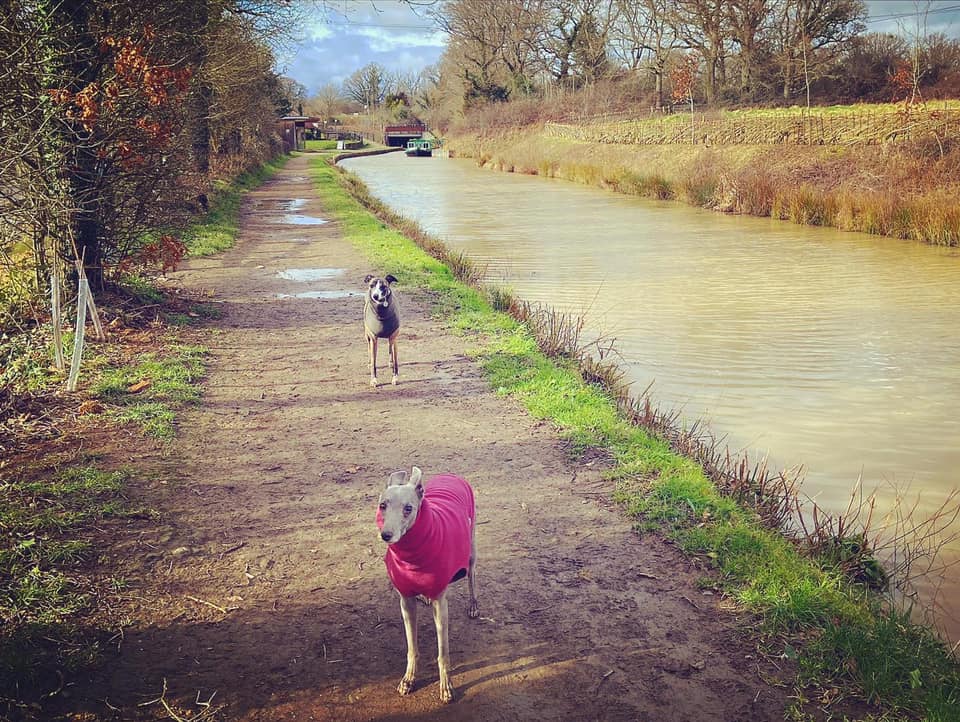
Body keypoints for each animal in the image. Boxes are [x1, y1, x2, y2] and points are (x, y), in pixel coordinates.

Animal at [376, 466, 478, 703]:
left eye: (408, 508)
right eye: (383, 505)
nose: (386, 535)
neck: (413, 558)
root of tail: (451, 475)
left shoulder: (441, 605)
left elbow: (443, 653)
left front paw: (446, 687)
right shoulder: (405, 601)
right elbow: (412, 648)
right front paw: (408, 680)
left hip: (471, 550)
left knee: (471, 576)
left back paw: (473, 605)